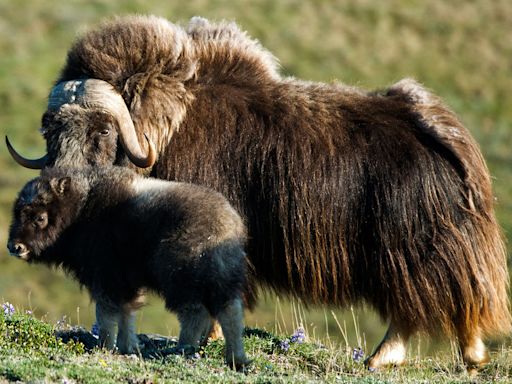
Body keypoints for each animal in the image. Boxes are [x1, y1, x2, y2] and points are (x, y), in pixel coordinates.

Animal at [5, 166, 250, 368]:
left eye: (40, 217)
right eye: (17, 212)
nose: (14, 247)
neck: (80, 210)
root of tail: (227, 224)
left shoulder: (106, 275)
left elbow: (106, 313)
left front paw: (104, 346)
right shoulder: (126, 281)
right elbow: (127, 312)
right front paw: (127, 347)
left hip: (181, 277)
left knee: (195, 312)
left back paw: (183, 349)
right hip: (222, 279)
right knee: (230, 312)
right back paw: (236, 358)